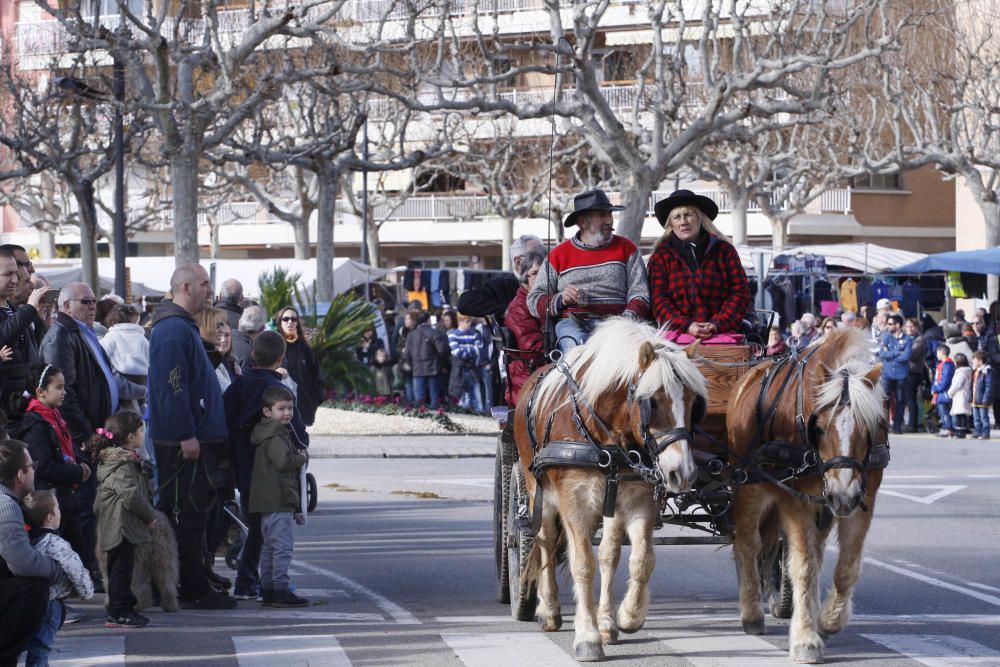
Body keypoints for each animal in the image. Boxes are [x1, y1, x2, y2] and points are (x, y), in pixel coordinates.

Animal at [512, 318, 708, 664]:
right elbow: (582, 565)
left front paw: (628, 616)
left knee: (609, 554)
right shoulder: (574, 502)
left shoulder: (638, 500)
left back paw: (606, 622)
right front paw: (587, 638)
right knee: (546, 540)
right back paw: (549, 611)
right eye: (652, 401)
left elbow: (640, 559)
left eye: (694, 403)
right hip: (537, 489)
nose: (682, 473)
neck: (608, 436)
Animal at [724, 332, 888, 664]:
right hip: (749, 486)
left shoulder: (863, 500)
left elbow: (846, 567)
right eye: (821, 428)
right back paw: (751, 613)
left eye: (867, 428)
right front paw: (805, 639)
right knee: (747, 544)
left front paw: (828, 621)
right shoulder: (795, 500)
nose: (842, 493)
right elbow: (803, 567)